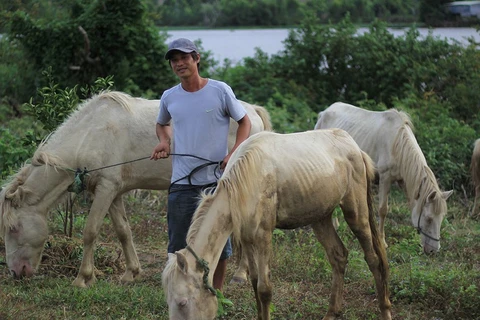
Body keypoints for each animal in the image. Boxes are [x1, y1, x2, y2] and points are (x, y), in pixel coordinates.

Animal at [0, 90, 270, 288]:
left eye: (13, 229)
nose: (15, 272)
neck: (90, 135)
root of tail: (252, 113)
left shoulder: (105, 189)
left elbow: (90, 231)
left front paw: (82, 278)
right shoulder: (113, 193)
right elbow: (123, 231)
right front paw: (131, 272)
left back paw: (240, 274)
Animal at [163, 129, 392, 320]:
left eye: (182, 303)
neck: (243, 184)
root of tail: (353, 146)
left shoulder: (263, 235)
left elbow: (265, 289)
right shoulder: (247, 237)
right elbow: (255, 281)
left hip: (356, 213)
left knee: (373, 259)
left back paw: (385, 310)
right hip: (321, 218)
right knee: (339, 256)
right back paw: (331, 313)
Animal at [316, 102, 454, 252]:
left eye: (441, 218)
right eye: (429, 218)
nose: (433, 250)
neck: (397, 143)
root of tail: (325, 112)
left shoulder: (404, 182)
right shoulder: (385, 178)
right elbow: (383, 210)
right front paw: (382, 241)